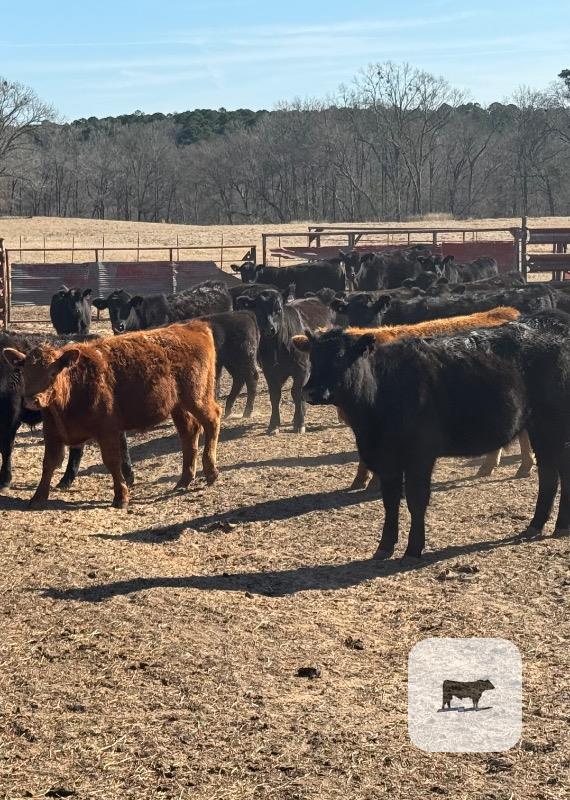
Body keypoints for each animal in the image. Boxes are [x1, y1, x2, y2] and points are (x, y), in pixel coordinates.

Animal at [235, 289, 331, 434]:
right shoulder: (269, 370)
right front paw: (274, 425)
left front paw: (299, 423)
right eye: (258, 309)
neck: (278, 346)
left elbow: (296, 392)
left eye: (278, 309)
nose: (269, 329)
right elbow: (275, 395)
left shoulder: (302, 369)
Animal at [293, 310, 570, 559]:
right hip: (540, 428)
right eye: (313, 357)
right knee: (548, 474)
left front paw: (413, 549)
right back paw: (535, 525)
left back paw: (560, 526)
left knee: (561, 472)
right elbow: (390, 501)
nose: (311, 391)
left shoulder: (420, 455)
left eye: (340, 357)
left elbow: (416, 500)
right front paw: (384, 546)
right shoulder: (387, 459)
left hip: (555, 425)